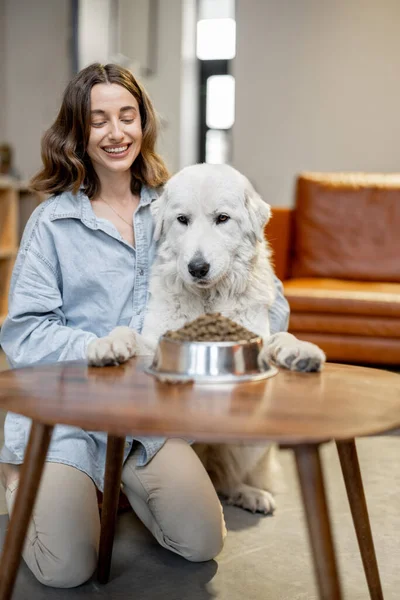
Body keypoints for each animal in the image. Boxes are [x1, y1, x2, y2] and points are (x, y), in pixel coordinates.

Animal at [88, 165, 324, 516]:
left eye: (222, 218)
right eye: (182, 220)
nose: (197, 268)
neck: (208, 299)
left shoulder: (256, 337)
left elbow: (281, 337)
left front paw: (301, 351)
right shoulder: (157, 344)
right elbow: (126, 333)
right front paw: (108, 345)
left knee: (224, 477)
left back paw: (249, 494)